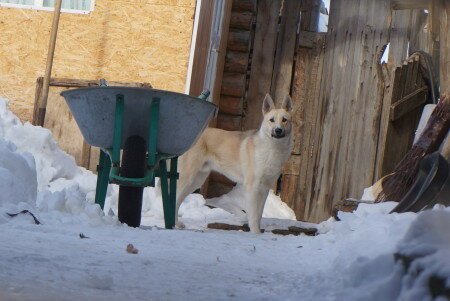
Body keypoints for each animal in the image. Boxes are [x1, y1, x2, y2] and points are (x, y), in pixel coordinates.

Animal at [174, 93, 294, 232]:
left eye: (284, 120)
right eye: (272, 120)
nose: (278, 130)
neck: (272, 149)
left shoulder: (264, 189)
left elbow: (259, 215)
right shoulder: (252, 188)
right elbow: (253, 216)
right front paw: (255, 233)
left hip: (196, 181)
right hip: (187, 178)